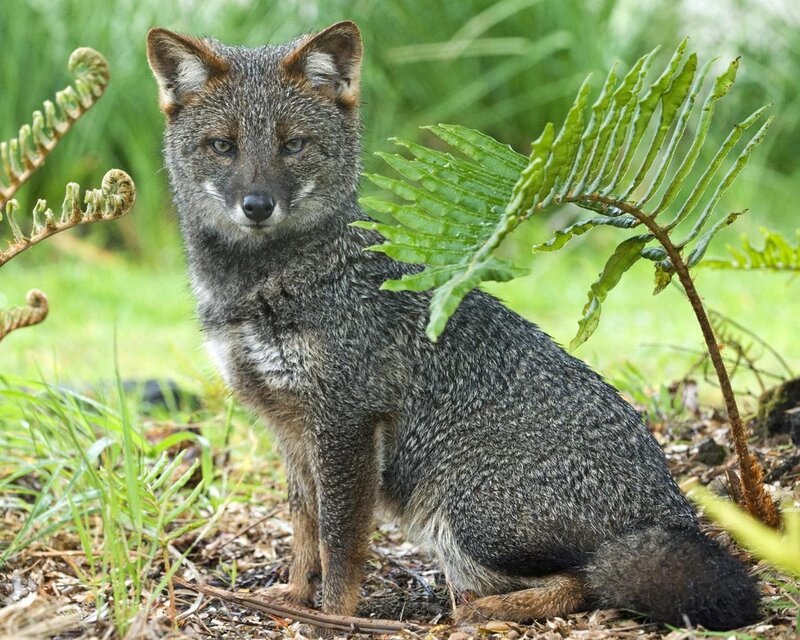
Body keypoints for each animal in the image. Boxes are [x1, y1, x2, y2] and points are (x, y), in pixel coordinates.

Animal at [147, 21, 761, 630]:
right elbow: (304, 529)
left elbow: (340, 544)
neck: (256, 288)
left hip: (461, 518)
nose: (257, 205)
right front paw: (295, 599)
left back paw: (484, 612)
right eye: (223, 146)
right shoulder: (290, 426)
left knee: (584, 583)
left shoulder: (346, 420)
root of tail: (673, 510)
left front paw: (334, 618)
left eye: (292, 145)